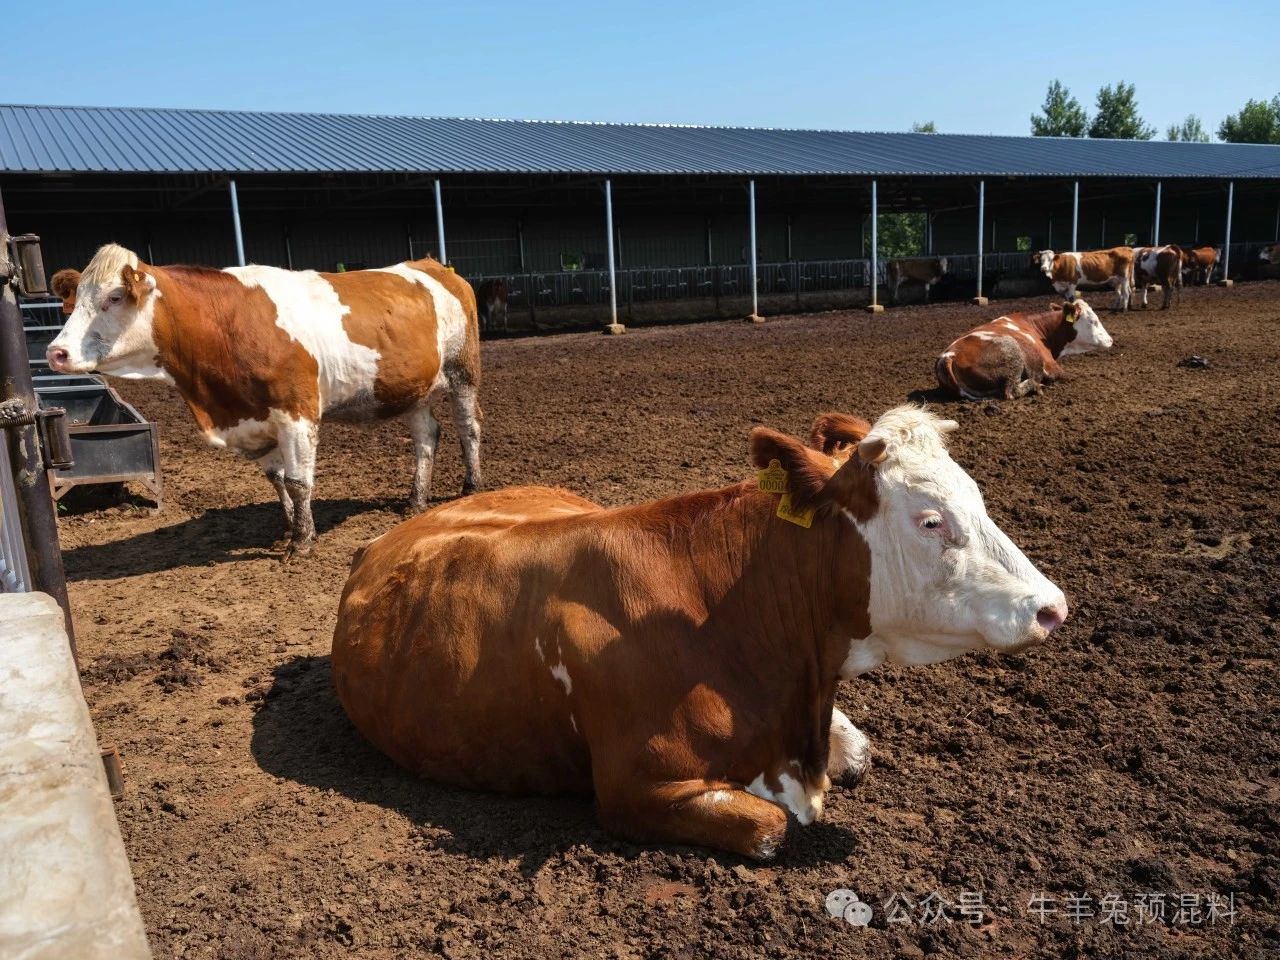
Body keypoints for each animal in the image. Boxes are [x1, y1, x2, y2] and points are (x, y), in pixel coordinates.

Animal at [46, 244, 481, 555]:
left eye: (115, 297)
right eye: (75, 300)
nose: (56, 352)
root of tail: (430, 264)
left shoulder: (297, 412)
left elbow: (299, 480)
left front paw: (301, 543)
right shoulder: (253, 419)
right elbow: (278, 480)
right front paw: (289, 529)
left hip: (463, 370)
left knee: (468, 428)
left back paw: (471, 487)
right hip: (412, 388)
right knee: (427, 437)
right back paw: (416, 502)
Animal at [325, 401, 1064, 860]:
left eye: (976, 496)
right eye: (930, 520)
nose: (1051, 606)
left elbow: (856, 752)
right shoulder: (633, 790)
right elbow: (772, 827)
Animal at [936, 299, 1116, 399]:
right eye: (1093, 321)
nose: (1110, 340)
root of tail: (948, 356)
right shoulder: (1051, 367)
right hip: (1011, 354)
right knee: (1011, 391)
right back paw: (1036, 386)